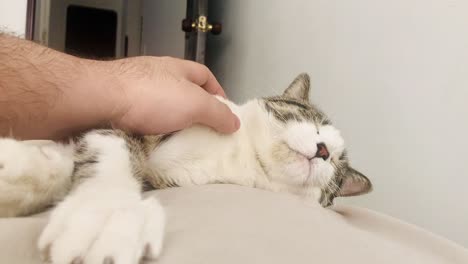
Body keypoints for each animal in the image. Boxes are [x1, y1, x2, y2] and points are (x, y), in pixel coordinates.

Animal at [0, 73, 372, 264]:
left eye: (337, 168)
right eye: (315, 122)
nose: (324, 151)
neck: (244, 155)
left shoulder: (168, 180)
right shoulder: (144, 120)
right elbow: (103, 151)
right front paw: (106, 210)